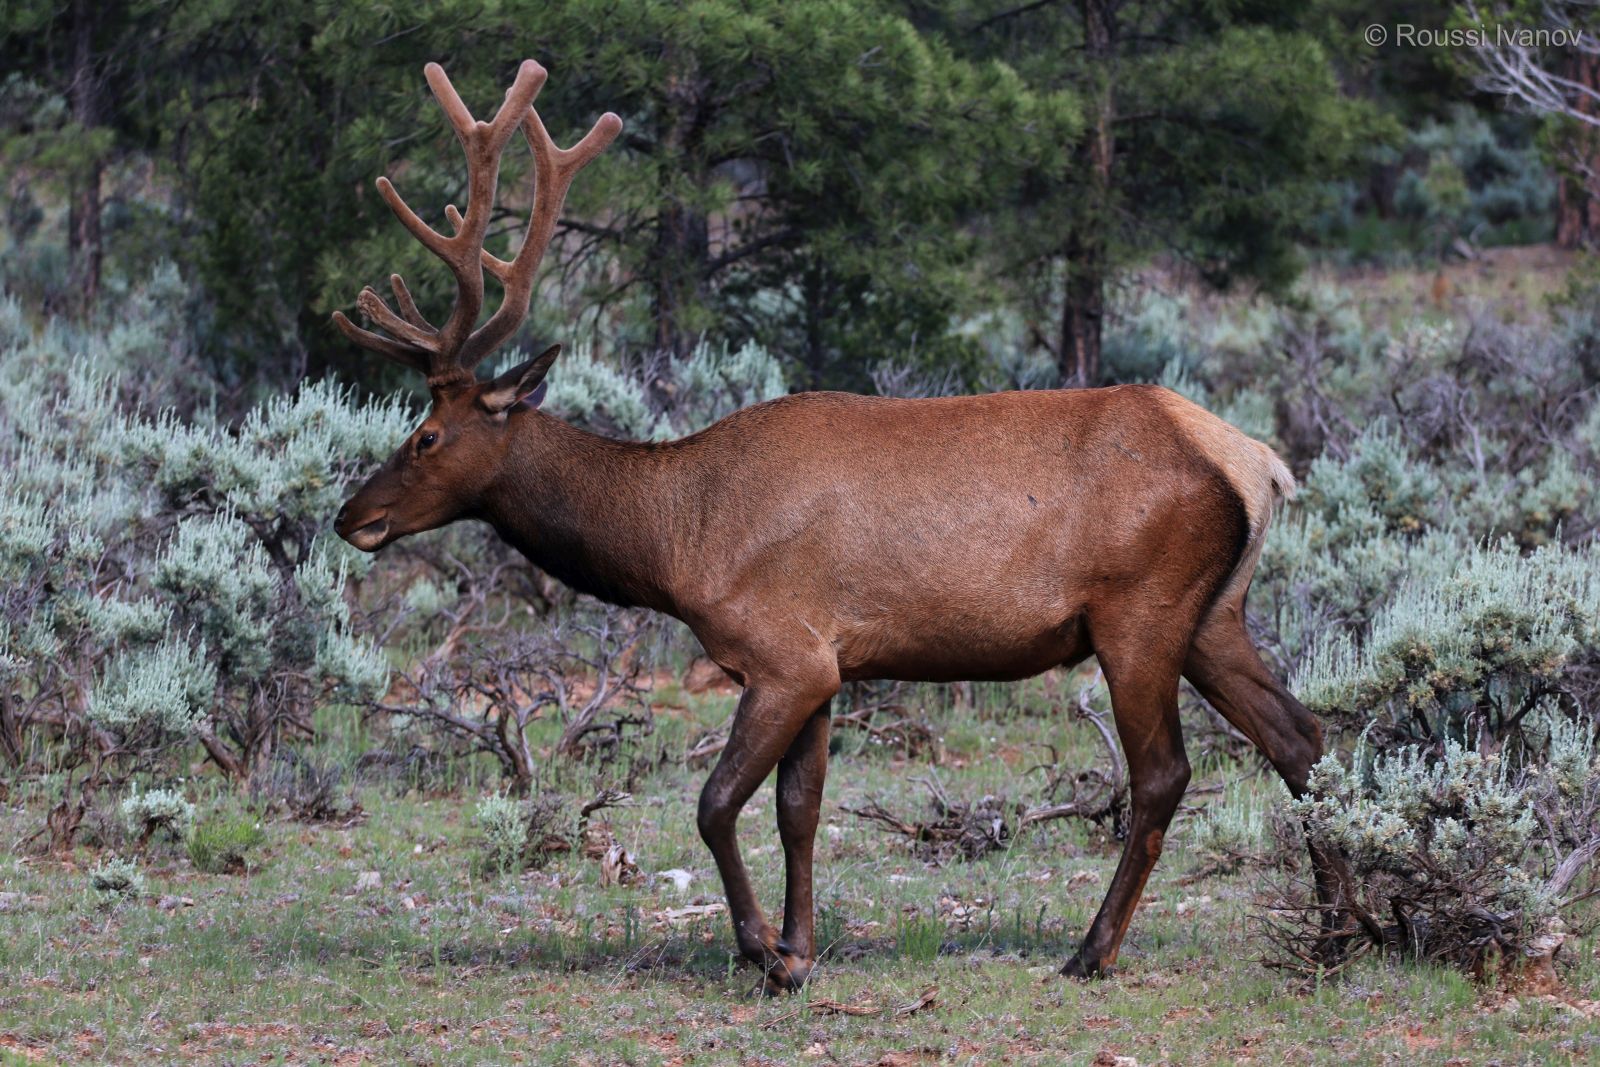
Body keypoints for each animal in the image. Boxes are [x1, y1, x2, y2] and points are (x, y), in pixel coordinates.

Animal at [332, 60, 1339, 993]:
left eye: (425, 435)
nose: (351, 515)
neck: (675, 536)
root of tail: (1257, 463)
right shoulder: (827, 662)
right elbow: (799, 810)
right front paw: (802, 947)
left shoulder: (783, 653)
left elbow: (714, 802)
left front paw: (762, 952)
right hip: (1213, 614)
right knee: (1304, 738)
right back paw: (1336, 929)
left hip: (1140, 612)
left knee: (1167, 773)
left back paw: (1095, 950)